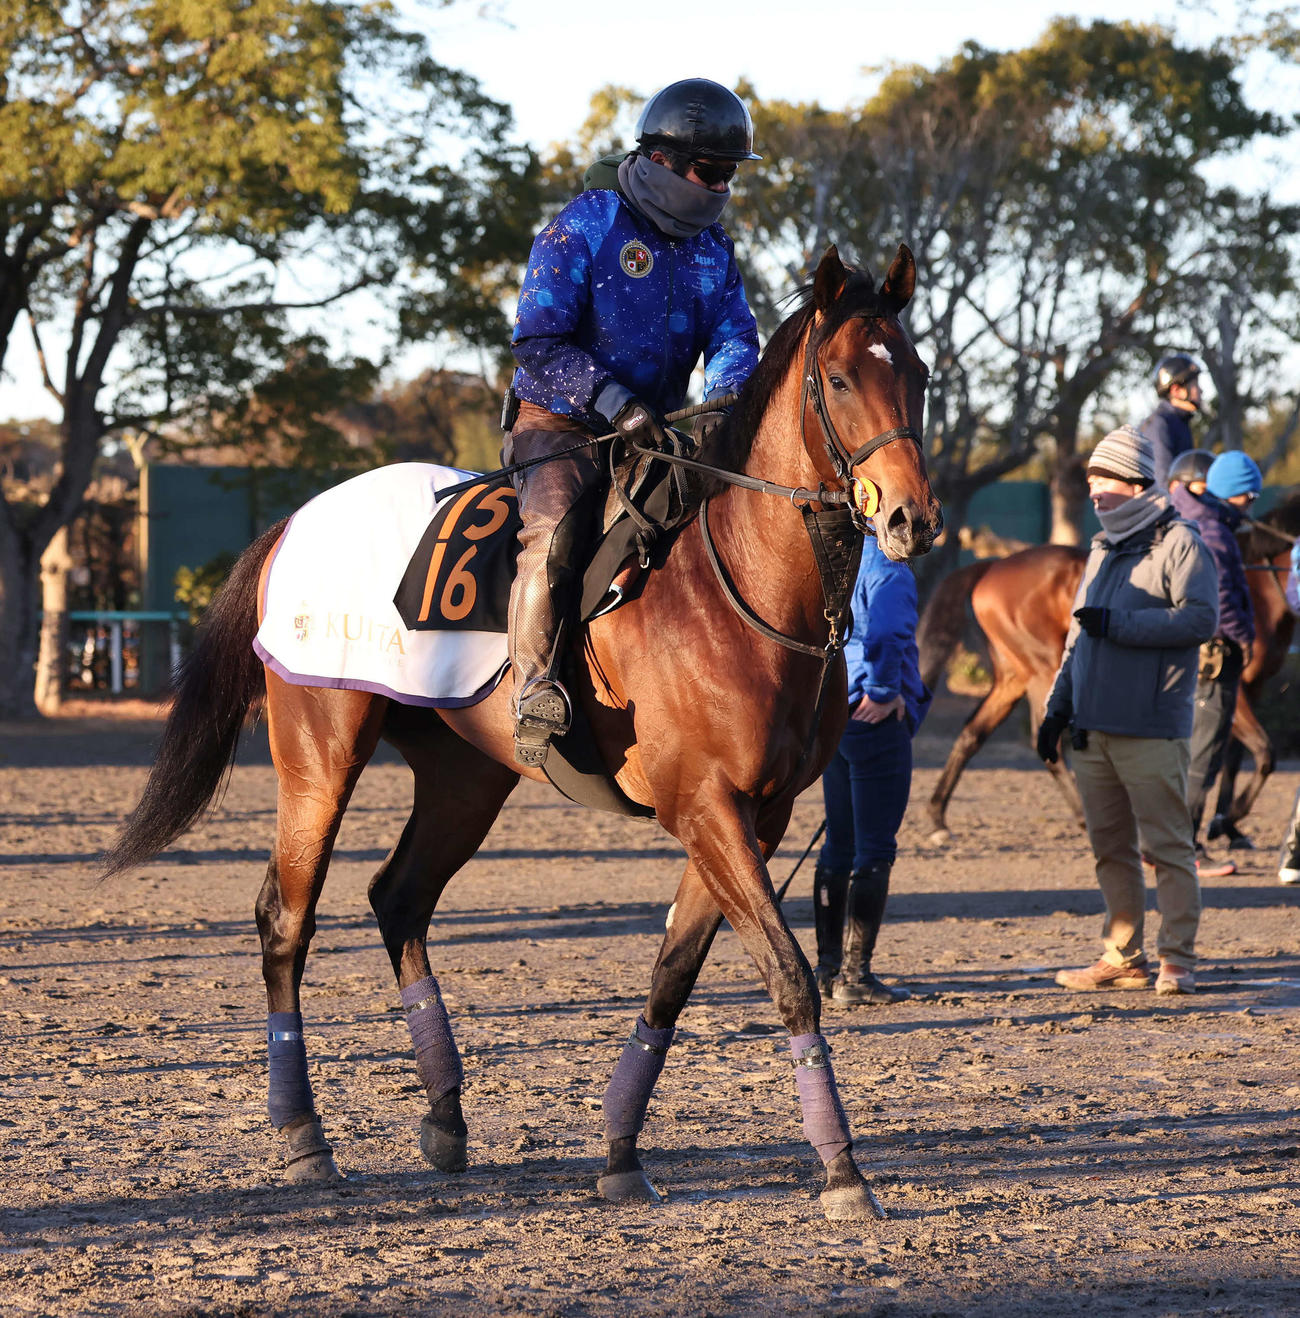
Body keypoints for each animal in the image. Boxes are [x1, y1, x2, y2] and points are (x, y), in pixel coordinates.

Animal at [102, 245, 943, 1223]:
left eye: (918, 374)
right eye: (840, 378)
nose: (911, 517)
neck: (735, 584)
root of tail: (295, 521)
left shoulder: (754, 817)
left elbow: (672, 974)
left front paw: (620, 1152)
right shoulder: (706, 809)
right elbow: (789, 975)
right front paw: (843, 1169)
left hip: (467, 778)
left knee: (399, 898)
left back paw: (444, 1116)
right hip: (319, 756)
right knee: (287, 918)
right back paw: (303, 1136)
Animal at [915, 491, 1300, 844]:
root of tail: (994, 566)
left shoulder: (1251, 687)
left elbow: (1236, 758)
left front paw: (1228, 827)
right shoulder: (1230, 689)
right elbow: (1262, 752)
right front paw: (1225, 820)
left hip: (1014, 676)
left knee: (972, 734)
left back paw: (937, 818)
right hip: (1044, 669)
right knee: (1048, 744)